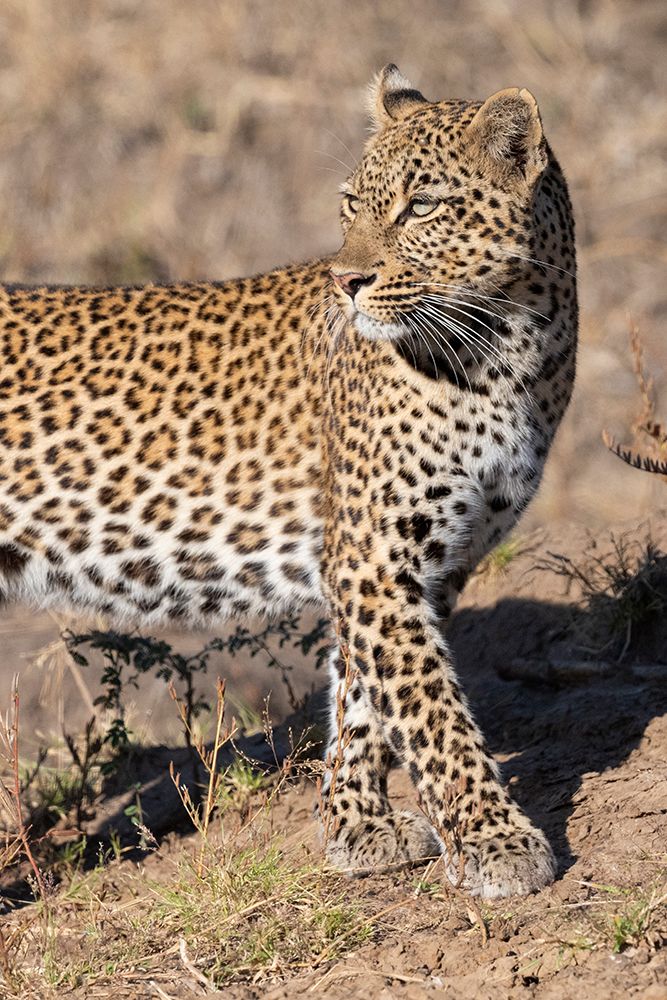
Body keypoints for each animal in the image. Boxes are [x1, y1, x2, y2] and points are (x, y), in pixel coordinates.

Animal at [0, 65, 577, 898]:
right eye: (351, 203)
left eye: (422, 206)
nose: (347, 280)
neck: (511, 349)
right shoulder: (375, 556)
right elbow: (431, 708)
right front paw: (494, 840)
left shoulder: (425, 561)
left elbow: (365, 697)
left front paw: (353, 825)